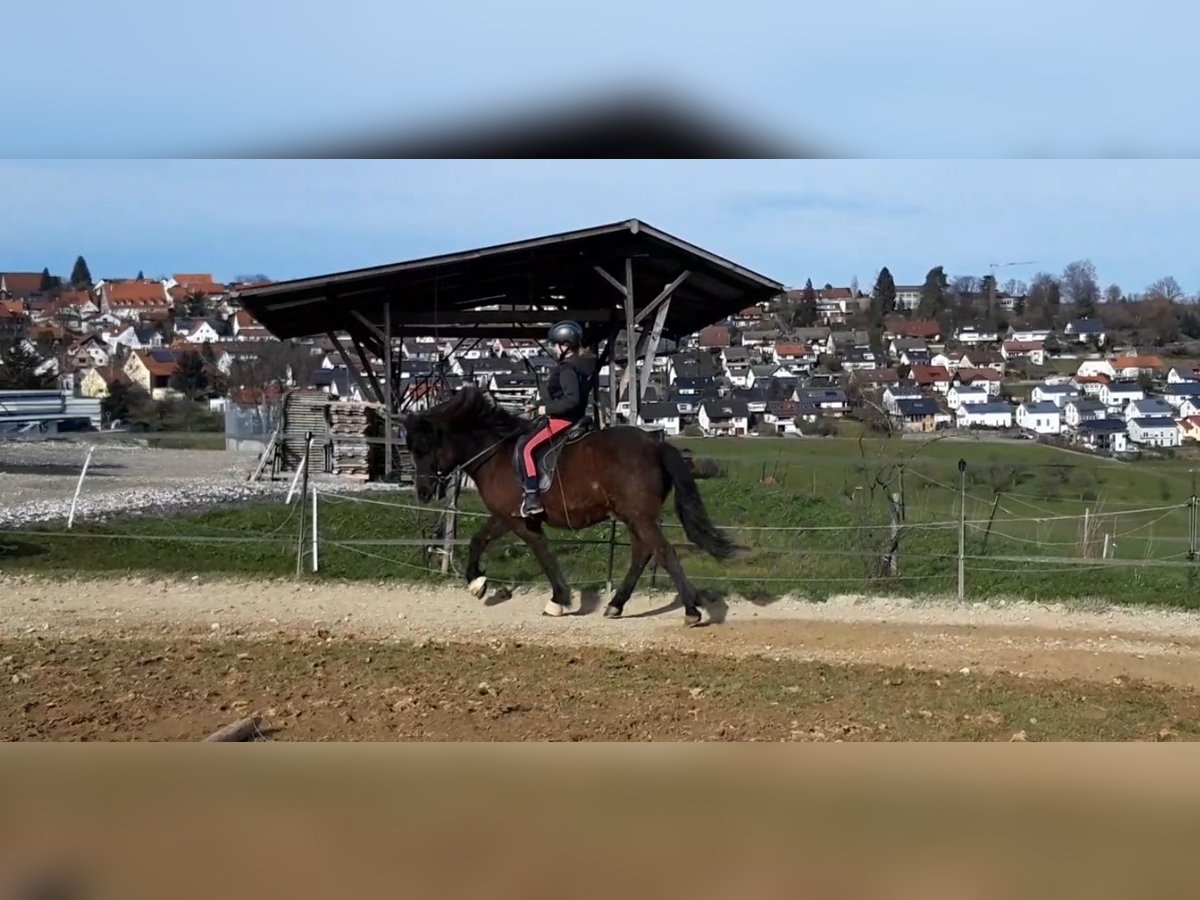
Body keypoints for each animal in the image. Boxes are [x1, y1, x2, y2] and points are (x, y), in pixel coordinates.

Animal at [408, 386, 734, 628]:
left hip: (639, 516)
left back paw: (691, 611)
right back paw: (615, 606)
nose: (423, 492)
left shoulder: (519, 520)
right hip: (633, 516)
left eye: (425, 449)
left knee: (664, 552)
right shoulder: (504, 516)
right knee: (643, 553)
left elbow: (542, 553)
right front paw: (477, 584)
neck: (497, 453)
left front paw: (558, 600)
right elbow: (480, 540)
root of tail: (656, 445)